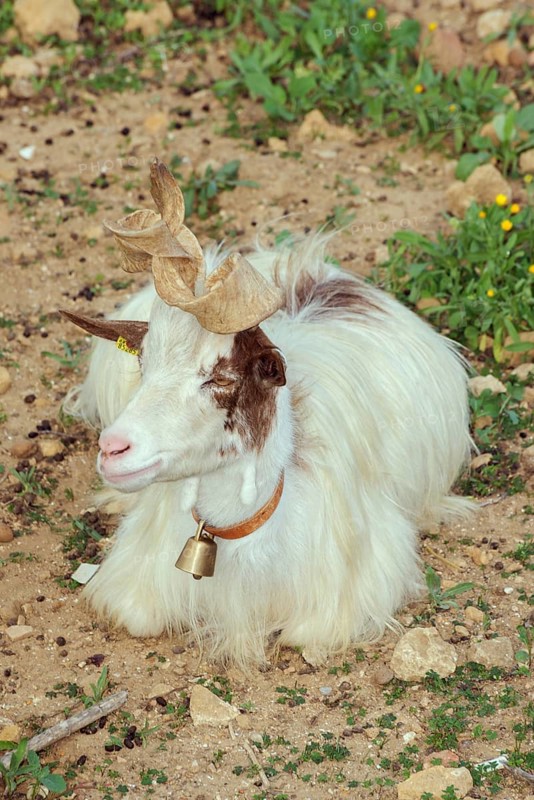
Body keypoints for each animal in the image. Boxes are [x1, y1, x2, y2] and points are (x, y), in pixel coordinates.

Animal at [63, 159, 473, 667]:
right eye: (144, 362)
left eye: (222, 378)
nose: (113, 449)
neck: (241, 530)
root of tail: (304, 262)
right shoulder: (134, 587)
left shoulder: (346, 598)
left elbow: (302, 635)